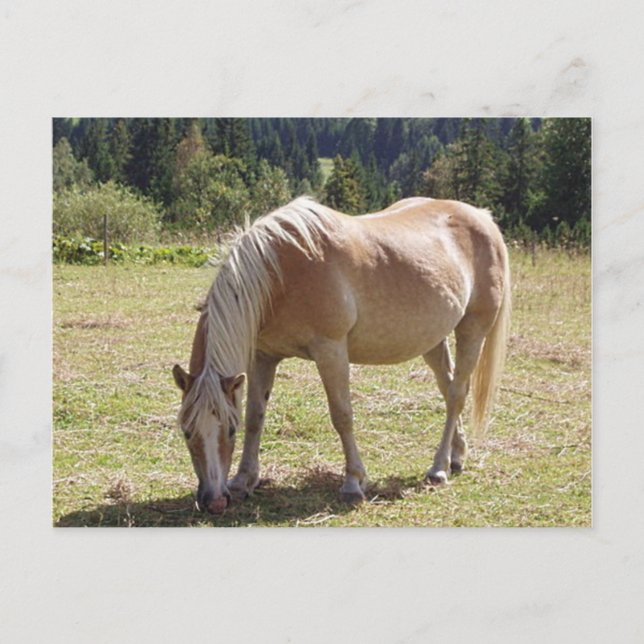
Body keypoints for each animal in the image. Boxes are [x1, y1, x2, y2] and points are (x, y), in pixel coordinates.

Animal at [172, 196, 511, 514]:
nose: (215, 501)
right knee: (448, 387)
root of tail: (482, 217)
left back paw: (438, 468)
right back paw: (457, 457)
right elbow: (256, 416)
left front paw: (353, 483)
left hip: (473, 330)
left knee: (456, 394)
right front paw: (244, 480)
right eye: (187, 431)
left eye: (229, 429)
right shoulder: (263, 357)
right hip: (433, 339)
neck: (279, 272)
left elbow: (342, 415)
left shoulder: (330, 350)